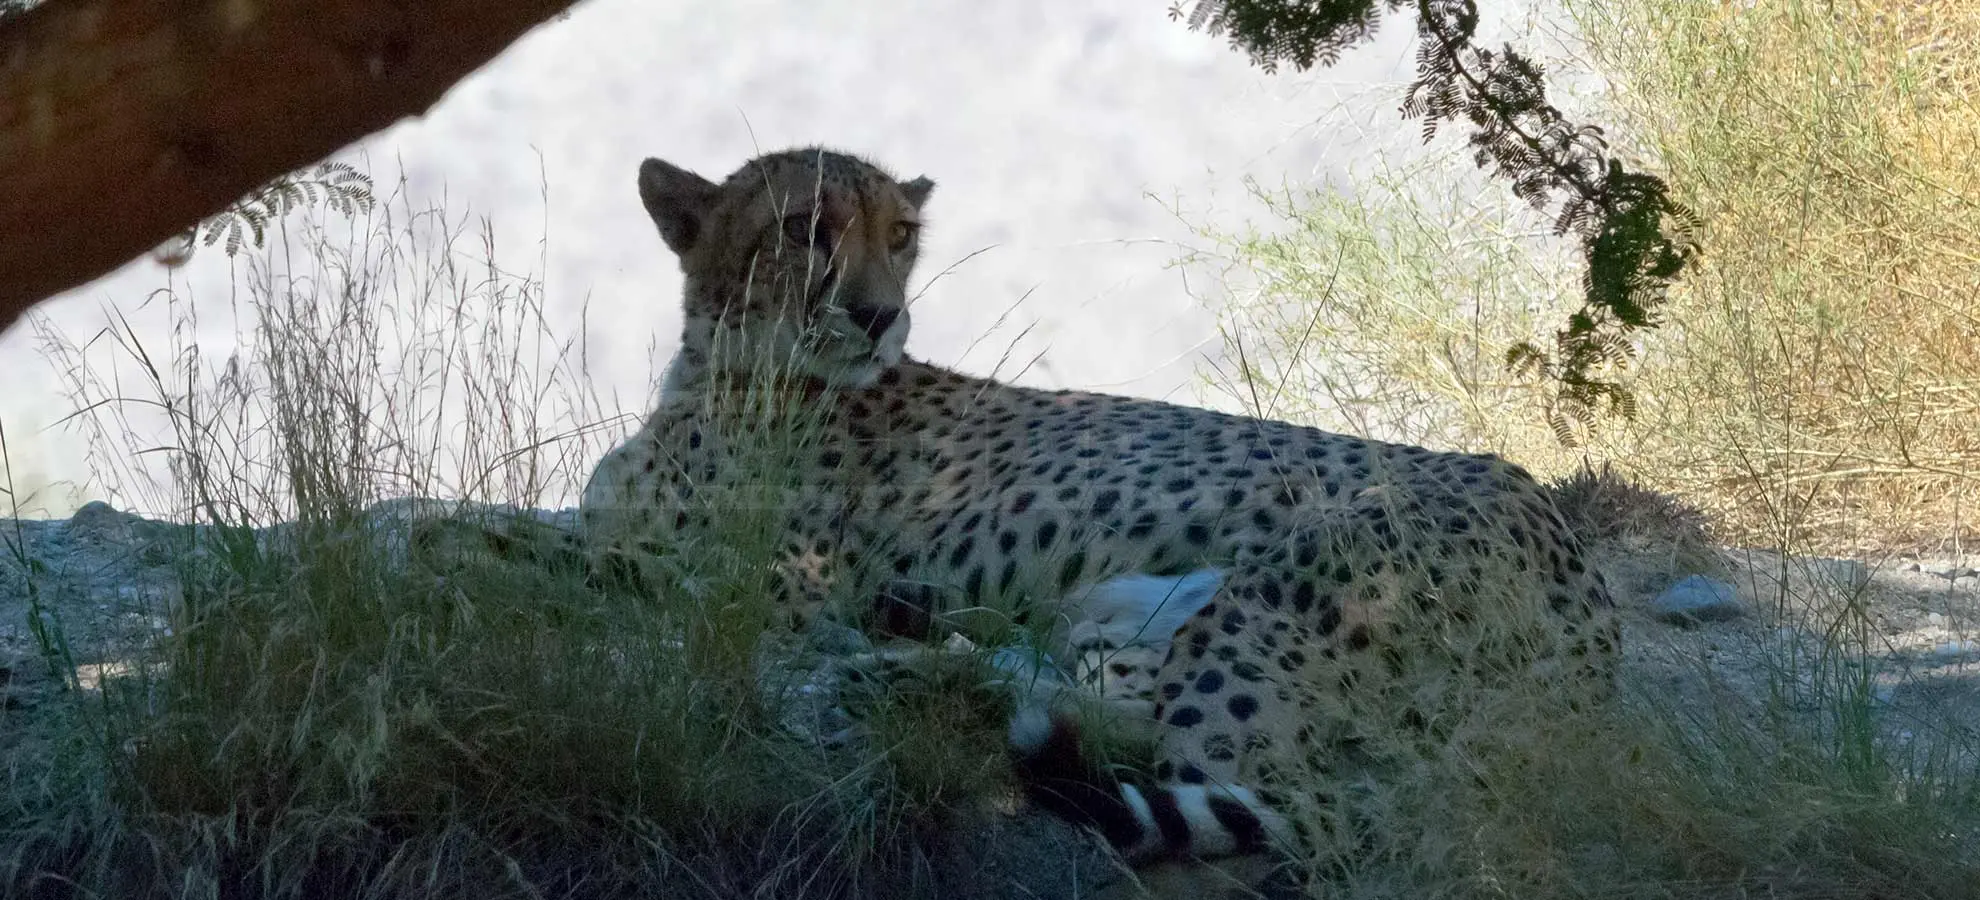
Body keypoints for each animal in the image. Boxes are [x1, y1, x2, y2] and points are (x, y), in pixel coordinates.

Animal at [515, 145, 1621, 871]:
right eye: (803, 229)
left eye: (900, 236)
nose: (878, 315)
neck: (727, 371)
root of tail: (1573, 555)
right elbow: (578, 536)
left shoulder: (784, 585)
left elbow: (577, 553)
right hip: (1121, 608)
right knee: (1108, 705)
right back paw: (917, 662)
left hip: (1285, 592)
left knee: (1230, 771)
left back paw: (911, 677)